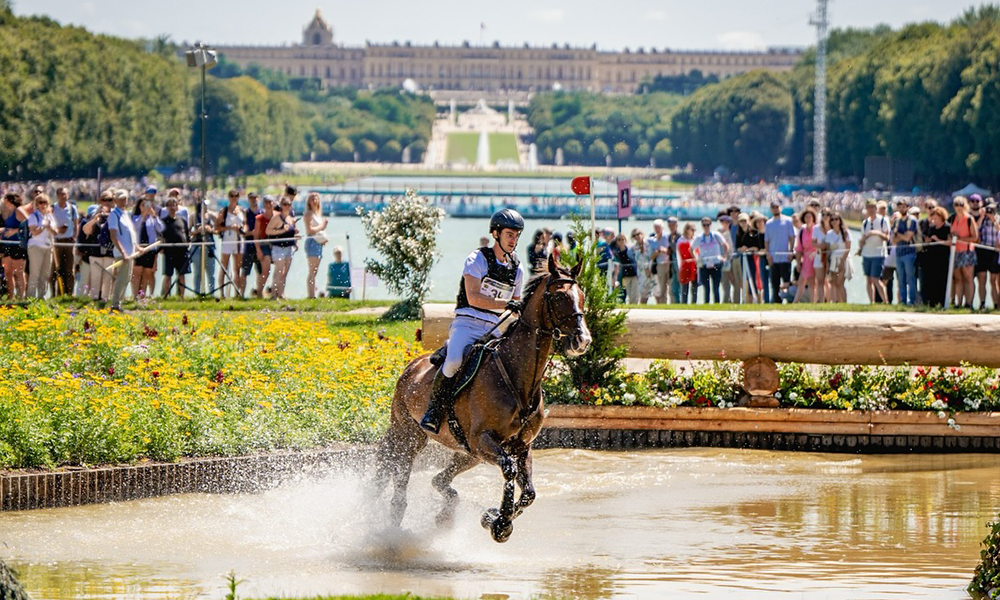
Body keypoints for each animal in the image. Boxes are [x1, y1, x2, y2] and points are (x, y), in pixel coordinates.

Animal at [376, 253, 592, 544]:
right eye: (558, 296)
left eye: (582, 296)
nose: (583, 340)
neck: (517, 376)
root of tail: (411, 367)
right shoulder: (483, 440)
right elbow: (510, 472)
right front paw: (499, 524)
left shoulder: (520, 446)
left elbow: (529, 493)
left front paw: (493, 517)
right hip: (410, 435)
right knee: (398, 475)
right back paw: (391, 518)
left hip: (467, 453)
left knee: (439, 481)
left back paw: (445, 513)